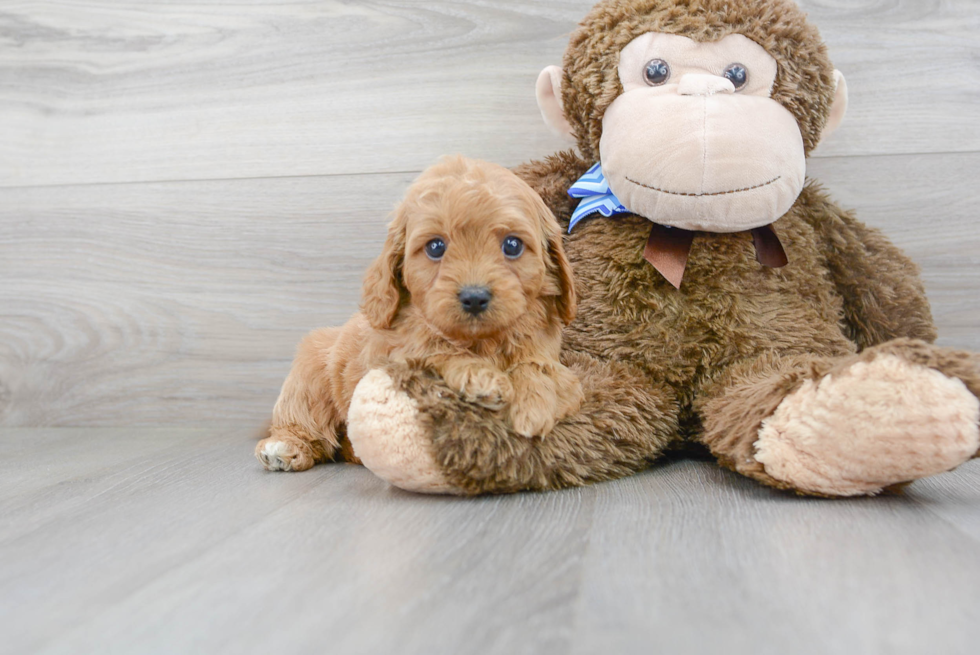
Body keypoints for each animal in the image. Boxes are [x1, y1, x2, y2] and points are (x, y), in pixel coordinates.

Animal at [256, 155, 584, 472]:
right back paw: (283, 447)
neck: (481, 342)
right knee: (304, 423)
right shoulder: (391, 355)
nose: (474, 297)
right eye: (436, 247)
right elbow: (435, 351)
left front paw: (532, 406)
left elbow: (539, 368)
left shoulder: (553, 361)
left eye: (512, 245)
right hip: (308, 376)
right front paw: (482, 378)